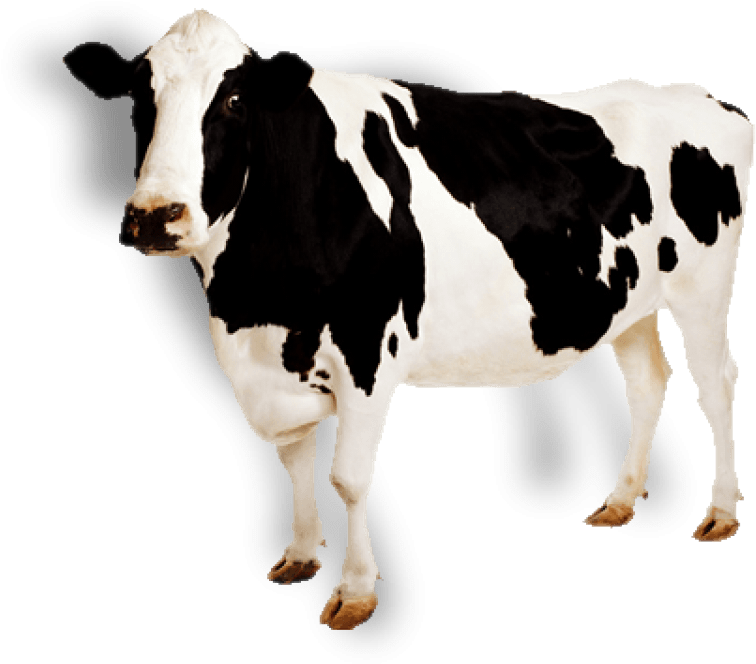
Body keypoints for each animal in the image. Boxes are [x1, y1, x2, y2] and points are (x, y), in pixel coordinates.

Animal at [65, 9, 752, 630]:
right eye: (139, 95)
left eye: (234, 99)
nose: (154, 215)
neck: (254, 298)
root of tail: (701, 99)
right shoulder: (273, 359)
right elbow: (295, 458)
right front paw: (300, 554)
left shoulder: (366, 352)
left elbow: (347, 477)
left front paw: (354, 591)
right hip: (627, 300)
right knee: (647, 383)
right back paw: (619, 499)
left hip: (703, 290)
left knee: (715, 383)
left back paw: (721, 511)